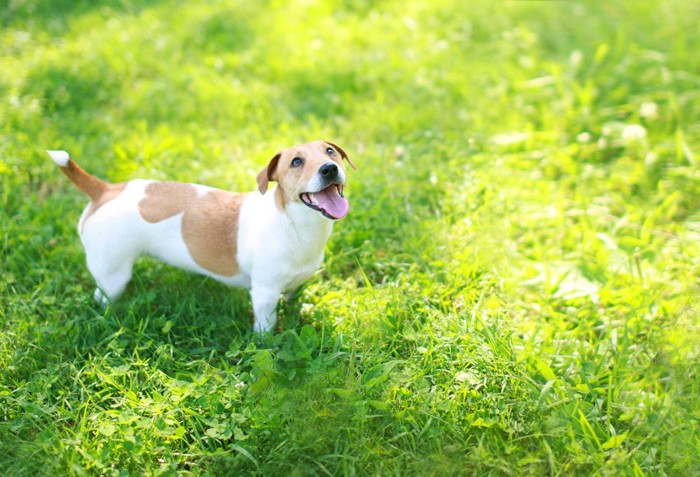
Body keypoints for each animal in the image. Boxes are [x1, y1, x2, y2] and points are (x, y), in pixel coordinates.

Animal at [47, 140, 356, 330]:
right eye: (296, 162)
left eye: (330, 151)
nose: (330, 168)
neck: (294, 225)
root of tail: (106, 190)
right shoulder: (264, 294)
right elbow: (265, 328)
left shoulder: (295, 284)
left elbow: (293, 299)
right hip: (112, 274)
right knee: (103, 297)